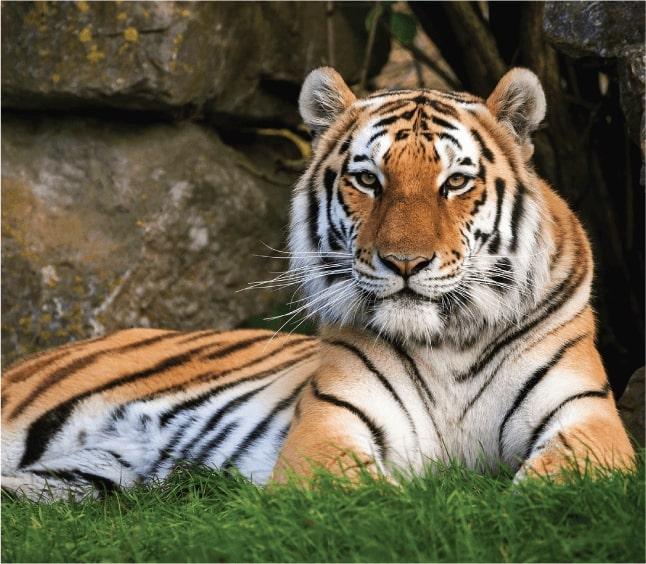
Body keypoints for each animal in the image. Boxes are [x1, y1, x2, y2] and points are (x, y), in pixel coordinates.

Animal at [1, 68, 636, 500]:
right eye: (368, 179)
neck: (448, 341)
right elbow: (369, 500)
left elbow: (553, 487)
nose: (405, 262)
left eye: (455, 182)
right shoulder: (330, 428)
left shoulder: (587, 419)